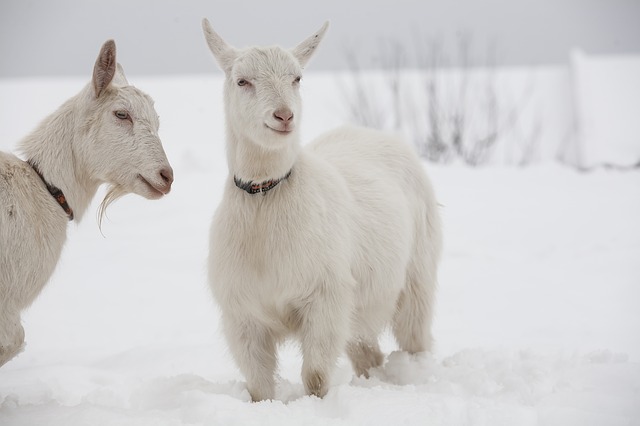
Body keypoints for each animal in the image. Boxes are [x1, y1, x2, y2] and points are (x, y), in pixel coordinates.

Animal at [202, 18, 442, 402]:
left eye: (297, 78)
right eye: (242, 81)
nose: (284, 116)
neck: (265, 199)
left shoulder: (326, 298)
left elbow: (314, 376)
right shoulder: (243, 315)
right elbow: (258, 384)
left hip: (416, 274)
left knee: (414, 337)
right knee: (367, 352)